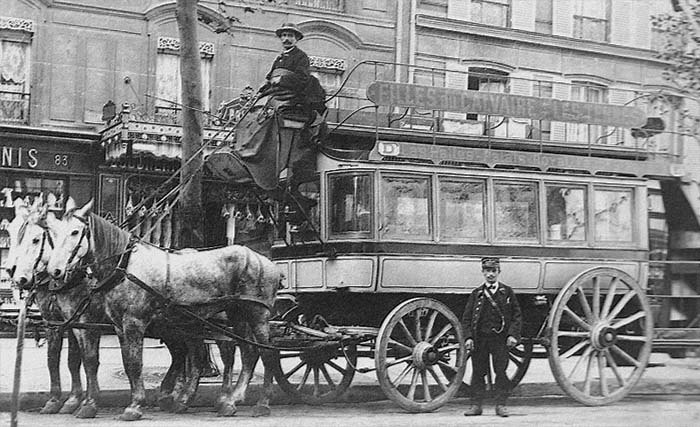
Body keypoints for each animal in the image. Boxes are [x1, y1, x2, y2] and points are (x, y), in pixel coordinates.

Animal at [44, 201, 282, 422]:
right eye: (54, 232)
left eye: (75, 231)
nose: (55, 270)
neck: (125, 266)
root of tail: (265, 260)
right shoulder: (119, 326)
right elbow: (123, 362)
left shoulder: (134, 322)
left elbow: (134, 363)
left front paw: (134, 406)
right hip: (237, 315)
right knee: (248, 352)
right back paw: (231, 401)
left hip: (256, 315)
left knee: (267, 353)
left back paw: (262, 403)